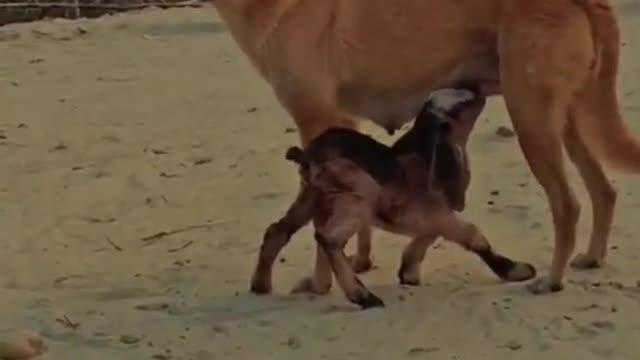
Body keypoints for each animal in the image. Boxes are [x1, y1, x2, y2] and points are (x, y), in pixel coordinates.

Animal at [212, 0, 640, 294]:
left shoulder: (316, 123)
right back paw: (592, 257)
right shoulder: (342, 127)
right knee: (604, 189)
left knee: (567, 204)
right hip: (568, 120)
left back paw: (551, 280)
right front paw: (360, 262)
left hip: (532, 120)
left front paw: (322, 284)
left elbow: (321, 224)